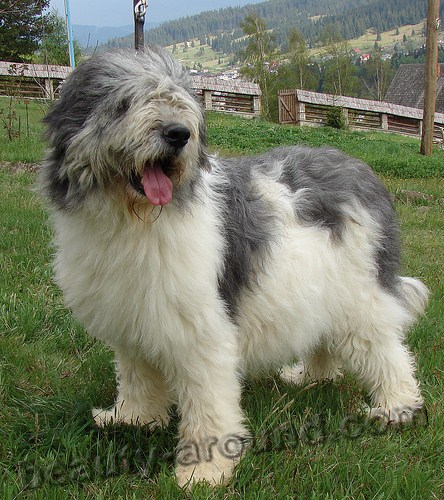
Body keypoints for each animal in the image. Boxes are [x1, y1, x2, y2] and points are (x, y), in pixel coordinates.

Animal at [40, 46, 428, 484]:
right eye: (124, 104)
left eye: (180, 102)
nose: (178, 134)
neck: (133, 219)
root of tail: (363, 172)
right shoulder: (133, 318)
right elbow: (137, 377)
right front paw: (131, 419)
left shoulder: (200, 329)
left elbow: (207, 403)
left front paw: (204, 470)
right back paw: (309, 377)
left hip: (359, 296)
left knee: (389, 354)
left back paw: (395, 408)